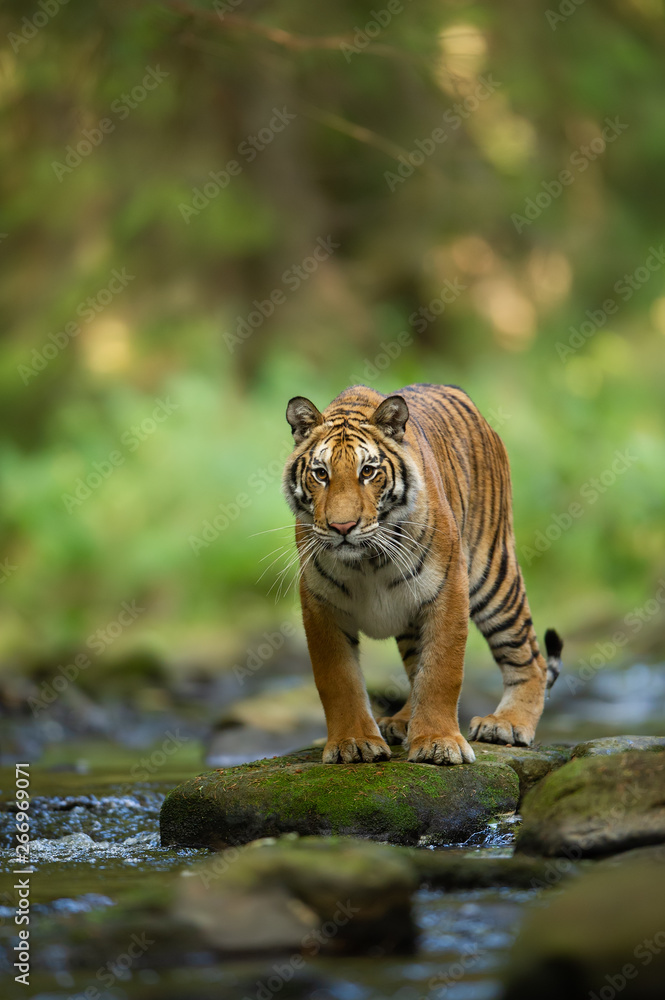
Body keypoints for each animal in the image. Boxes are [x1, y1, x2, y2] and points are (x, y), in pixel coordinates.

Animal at [281, 383, 562, 765]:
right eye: (320, 473)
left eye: (367, 471)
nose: (342, 527)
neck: (366, 560)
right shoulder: (321, 604)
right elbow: (338, 680)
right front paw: (353, 743)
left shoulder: (448, 590)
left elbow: (441, 673)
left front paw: (437, 743)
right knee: (416, 666)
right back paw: (400, 722)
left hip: (492, 576)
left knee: (530, 658)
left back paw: (506, 724)